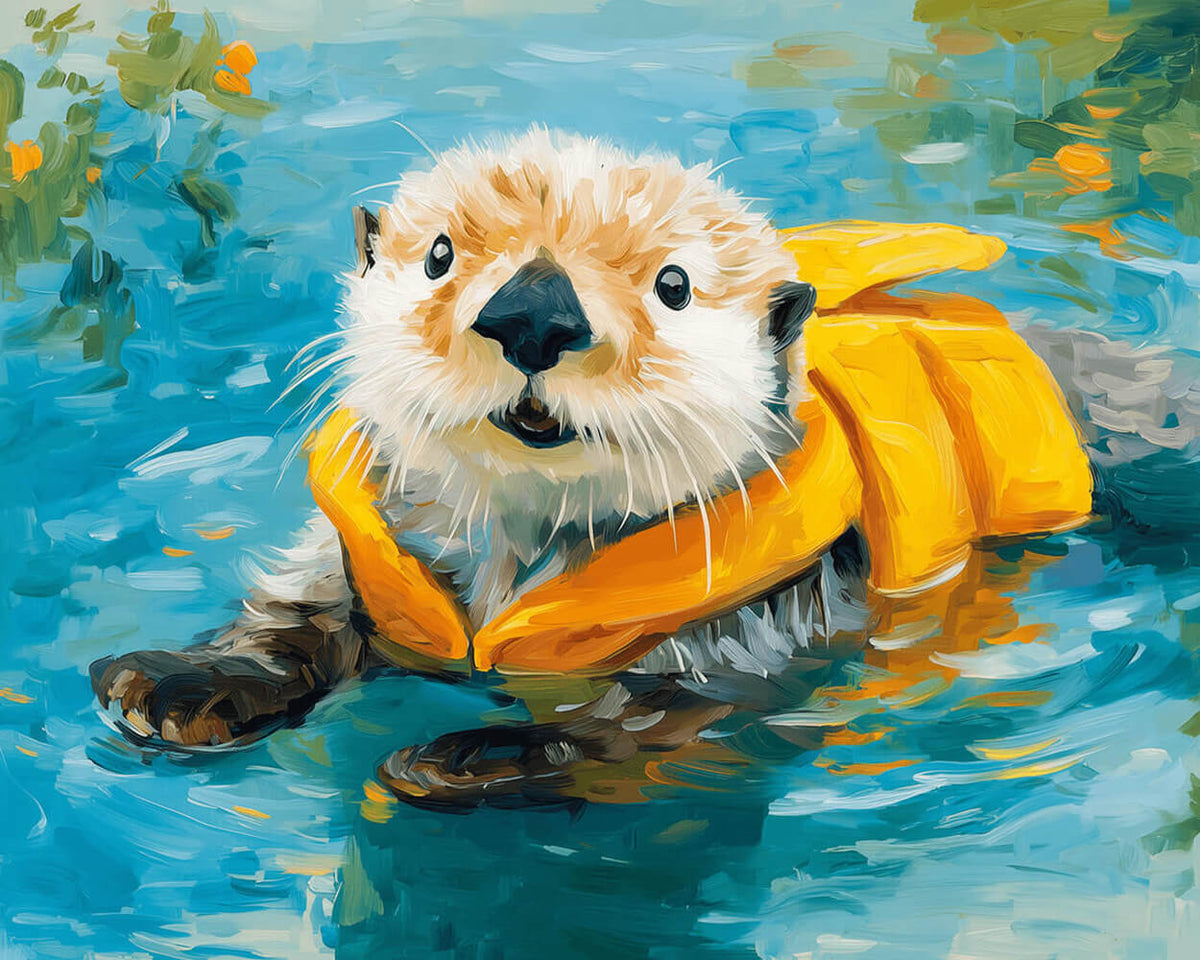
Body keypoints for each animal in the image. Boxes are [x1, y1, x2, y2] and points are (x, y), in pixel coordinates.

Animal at [88, 129, 1157, 809]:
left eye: (674, 285)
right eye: (438, 255)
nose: (533, 312)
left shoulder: (766, 629)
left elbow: (650, 717)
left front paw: (466, 757)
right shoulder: (365, 553)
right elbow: (301, 612)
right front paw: (174, 686)